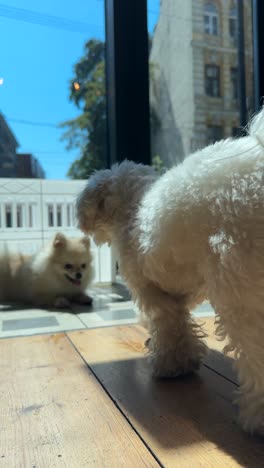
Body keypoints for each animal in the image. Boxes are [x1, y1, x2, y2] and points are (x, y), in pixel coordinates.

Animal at [76, 109, 264, 436]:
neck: (134, 208)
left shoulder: (152, 291)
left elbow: (168, 325)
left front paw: (171, 365)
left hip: (240, 288)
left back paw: (257, 418)